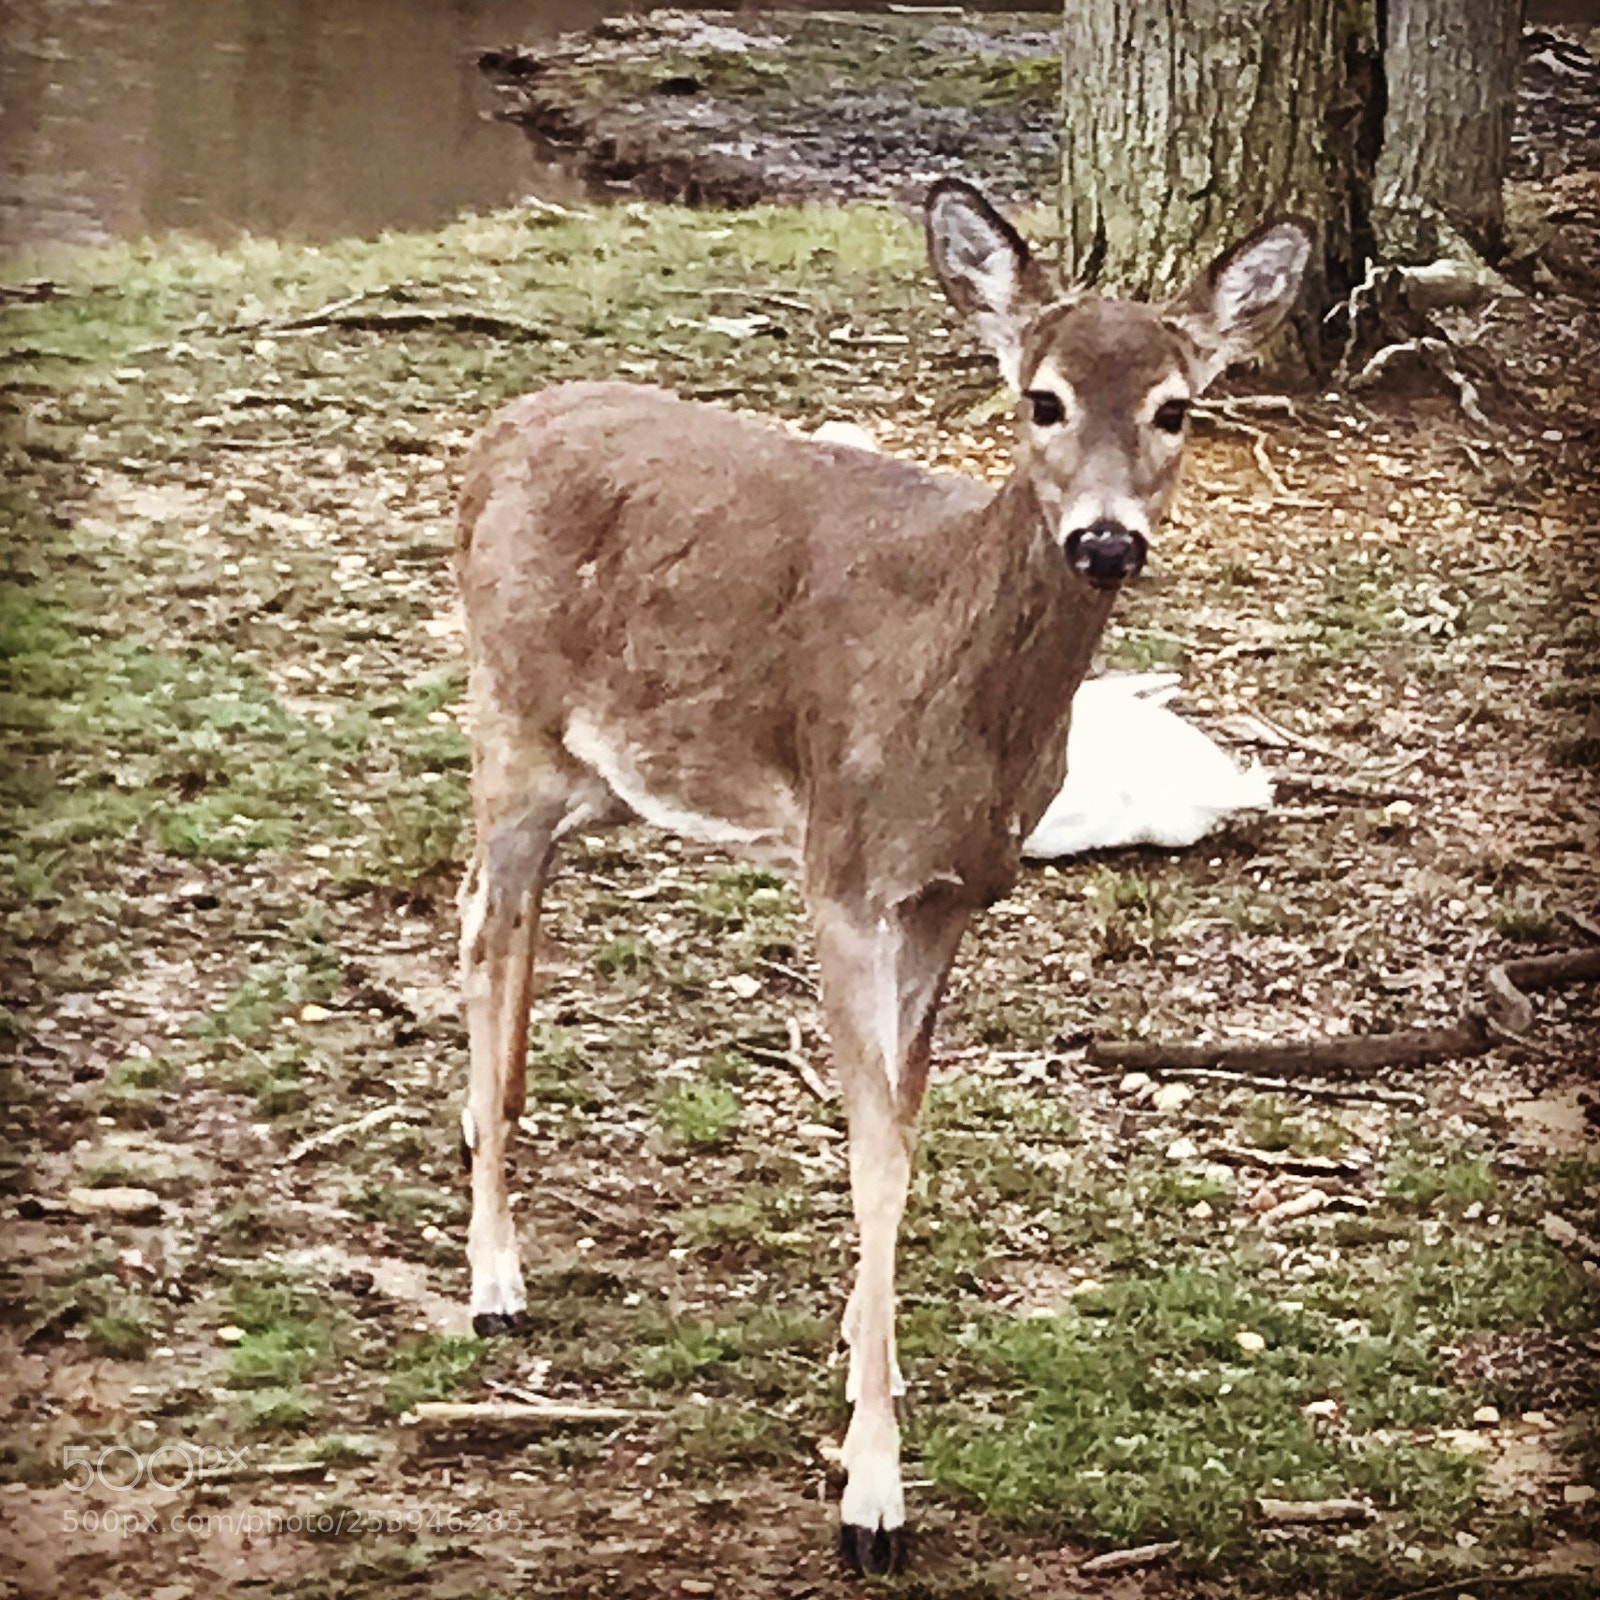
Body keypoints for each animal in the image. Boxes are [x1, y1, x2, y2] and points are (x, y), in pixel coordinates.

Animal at [452, 180, 1312, 1575]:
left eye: (1177, 407)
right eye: (1041, 399)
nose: (1106, 542)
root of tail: (491, 438)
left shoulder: (952, 893)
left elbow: (905, 1132)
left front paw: (870, 1375)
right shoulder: (844, 871)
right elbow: (874, 1156)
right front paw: (871, 1495)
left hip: (600, 774)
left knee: (491, 916)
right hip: (513, 721)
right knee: (486, 926)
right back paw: (494, 1283)